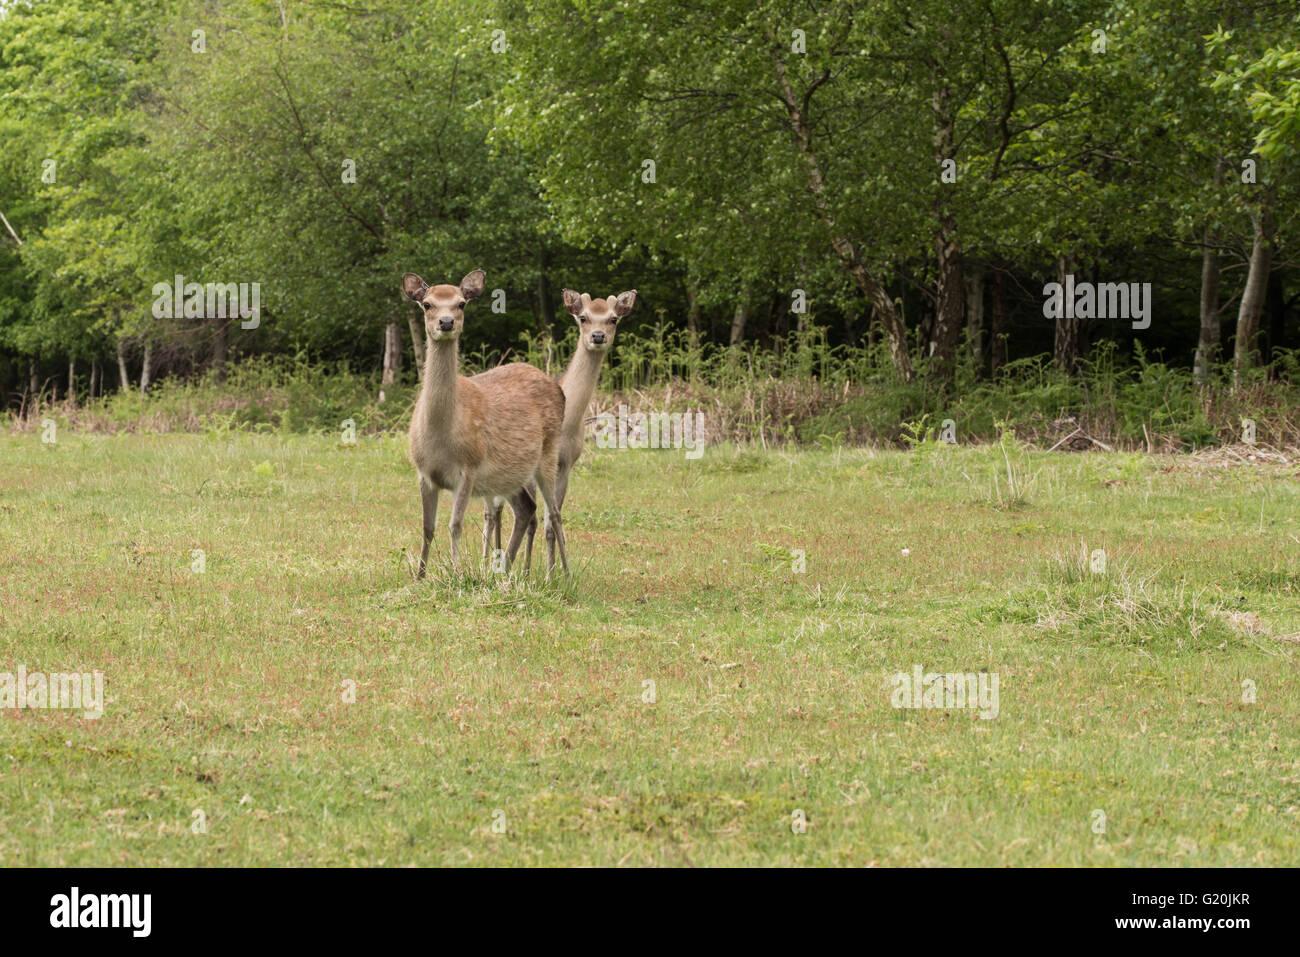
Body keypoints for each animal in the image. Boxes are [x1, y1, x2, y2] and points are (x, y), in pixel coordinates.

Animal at [403, 270, 572, 582]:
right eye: (428, 304)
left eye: (461, 303)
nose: (446, 322)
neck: (440, 435)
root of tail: (558, 388)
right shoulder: (423, 472)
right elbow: (427, 527)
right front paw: (419, 577)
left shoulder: (468, 468)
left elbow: (454, 525)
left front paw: (457, 573)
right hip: (509, 475)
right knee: (527, 509)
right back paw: (504, 570)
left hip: (549, 452)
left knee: (553, 513)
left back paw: (563, 575)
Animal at [483, 287, 634, 572]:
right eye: (583, 317)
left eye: (613, 319)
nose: (598, 336)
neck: (569, 425)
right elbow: (532, 519)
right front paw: (529, 570)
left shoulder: (566, 465)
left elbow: (552, 521)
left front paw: (550, 573)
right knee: (491, 511)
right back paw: (487, 558)